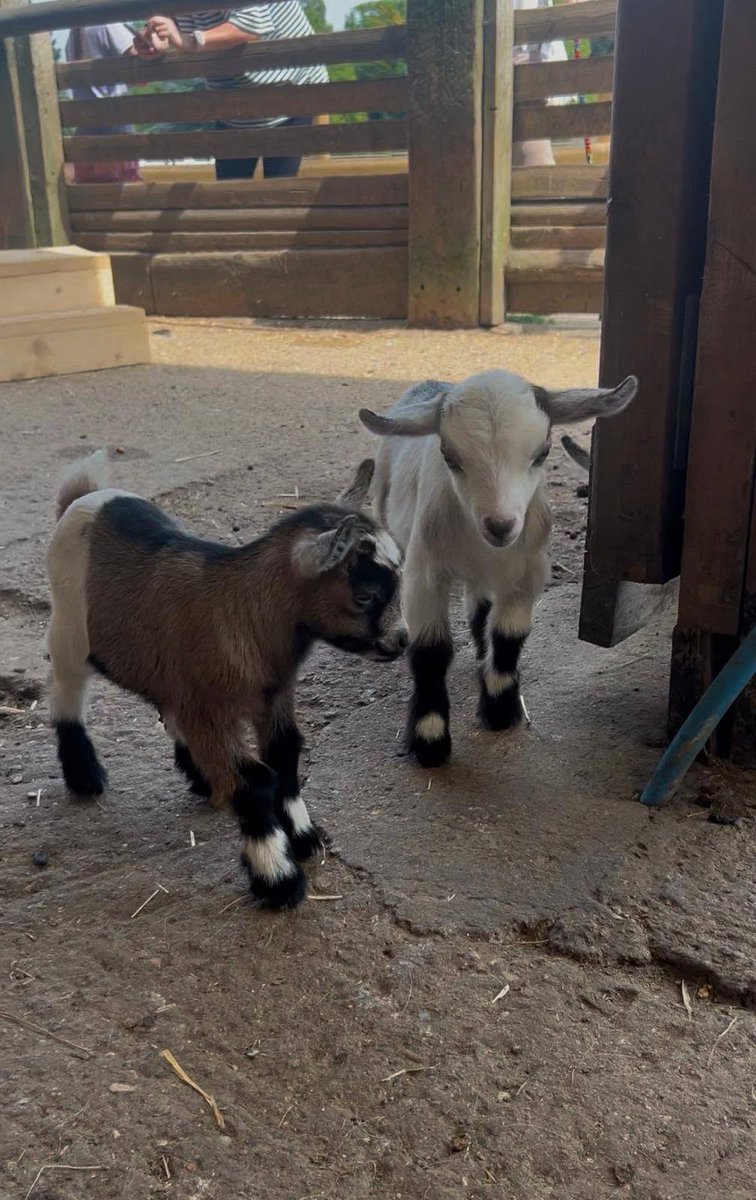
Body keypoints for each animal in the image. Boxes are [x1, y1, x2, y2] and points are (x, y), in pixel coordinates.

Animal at [47, 452, 404, 909]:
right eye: (364, 596)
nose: (401, 641)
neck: (241, 612)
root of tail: (84, 496)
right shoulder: (210, 710)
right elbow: (254, 781)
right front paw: (277, 878)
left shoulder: (272, 697)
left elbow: (285, 753)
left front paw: (303, 838)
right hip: (70, 628)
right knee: (66, 691)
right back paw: (84, 775)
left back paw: (198, 774)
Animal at [359, 369, 638, 767]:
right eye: (448, 456)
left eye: (543, 452)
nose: (500, 525)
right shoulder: (424, 572)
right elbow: (430, 650)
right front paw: (430, 740)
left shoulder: (527, 573)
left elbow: (508, 636)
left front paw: (501, 711)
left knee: (480, 602)